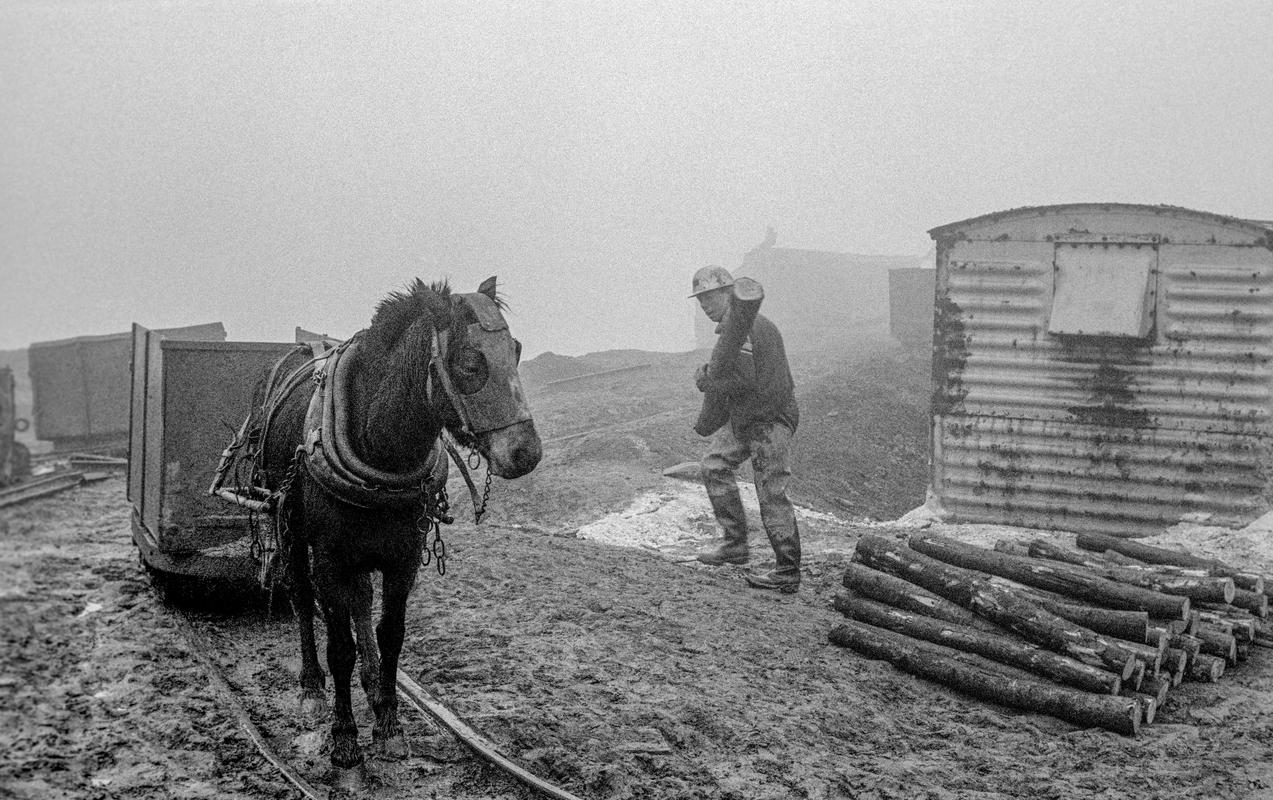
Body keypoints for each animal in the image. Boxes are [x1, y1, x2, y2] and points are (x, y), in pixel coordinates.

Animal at [260, 276, 539, 789]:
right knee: (301, 596)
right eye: (470, 363)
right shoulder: (330, 558)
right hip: (287, 526)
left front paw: (388, 724)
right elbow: (339, 648)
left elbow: (390, 633)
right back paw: (310, 689)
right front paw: (345, 742)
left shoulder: (403, 557)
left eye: (515, 349)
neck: (380, 446)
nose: (526, 452)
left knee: (360, 601)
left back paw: (371, 683)